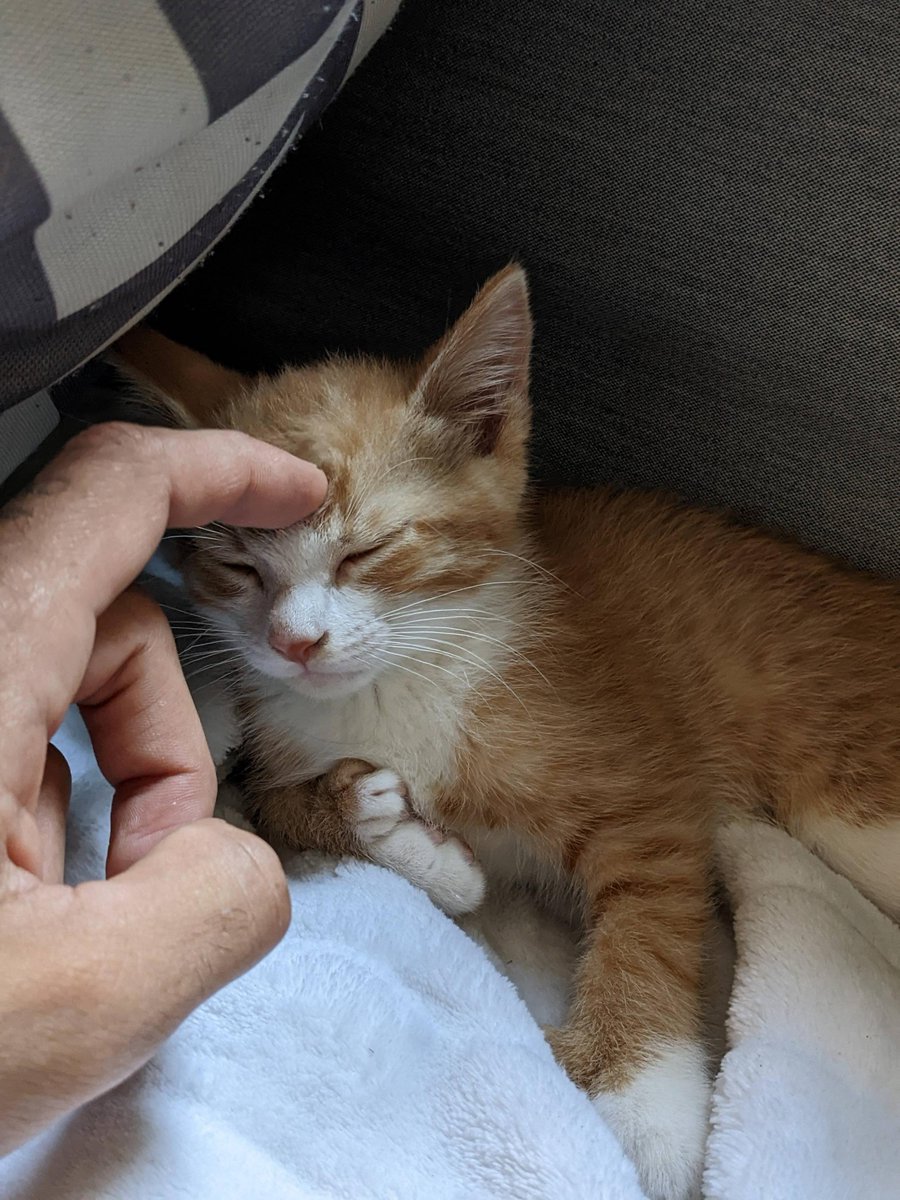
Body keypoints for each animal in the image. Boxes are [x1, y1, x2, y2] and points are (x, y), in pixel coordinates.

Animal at [115, 267, 900, 1200]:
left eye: (366, 551)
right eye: (237, 566)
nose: (295, 643)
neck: (401, 679)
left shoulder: (647, 782)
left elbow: (647, 924)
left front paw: (643, 1103)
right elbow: (275, 804)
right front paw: (395, 835)